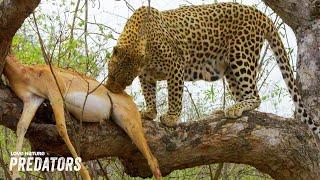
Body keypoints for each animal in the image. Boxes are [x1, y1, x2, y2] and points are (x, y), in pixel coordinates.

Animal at [105, 2, 320, 139]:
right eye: (111, 75)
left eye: (125, 82)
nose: (111, 90)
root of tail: (259, 13)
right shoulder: (146, 75)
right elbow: (149, 93)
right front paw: (150, 112)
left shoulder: (176, 66)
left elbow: (174, 95)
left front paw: (171, 118)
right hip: (231, 70)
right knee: (244, 94)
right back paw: (225, 109)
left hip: (242, 54)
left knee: (255, 96)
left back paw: (233, 109)